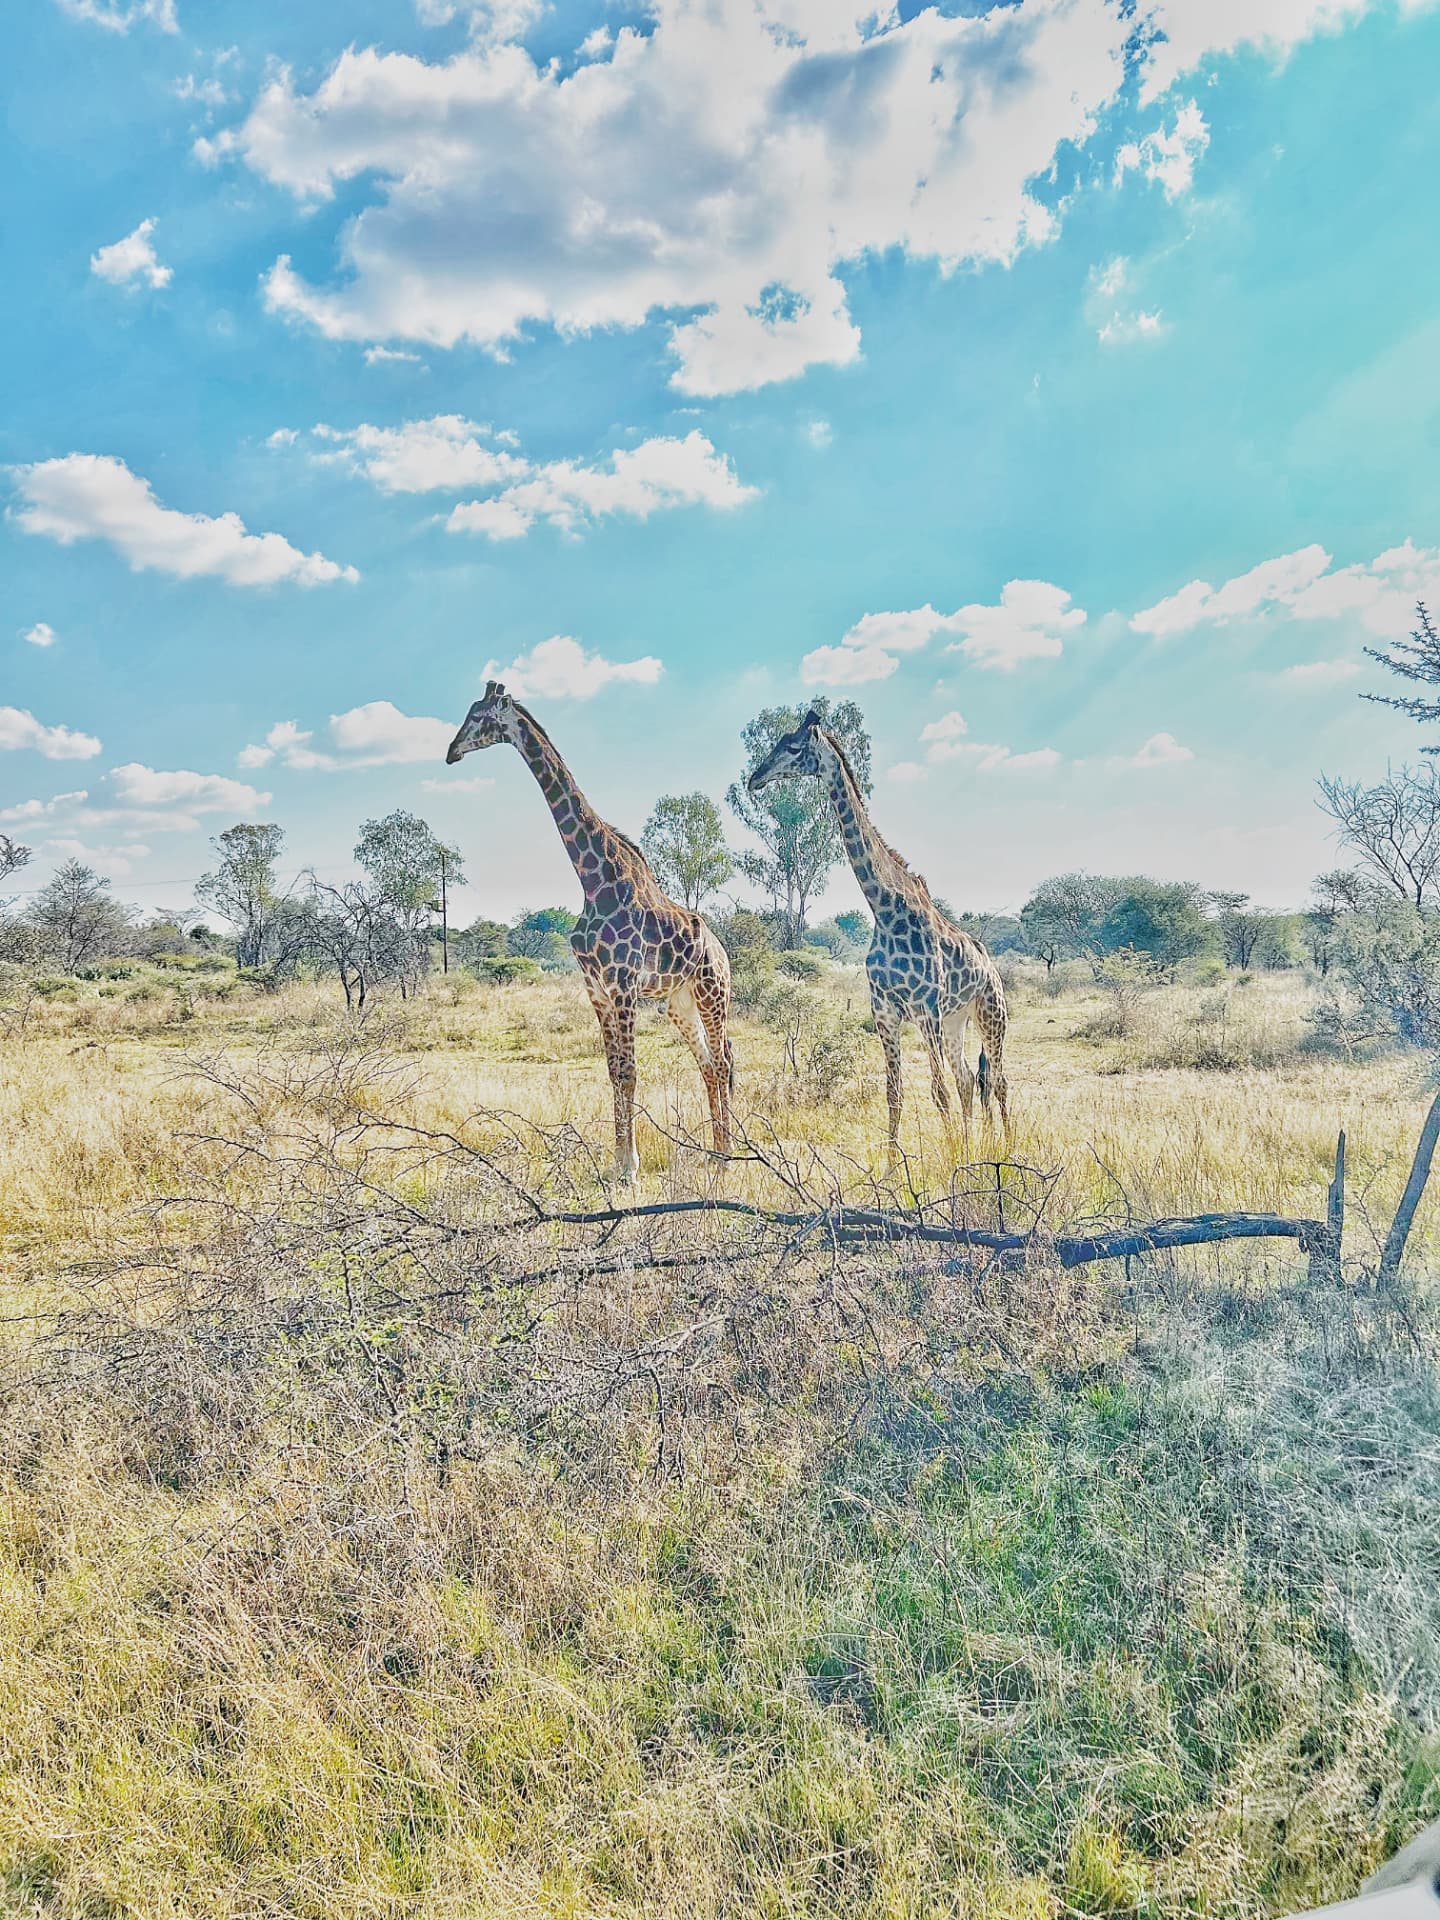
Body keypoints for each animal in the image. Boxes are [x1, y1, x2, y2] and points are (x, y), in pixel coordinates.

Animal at [446, 681, 734, 1182]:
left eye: (480, 717)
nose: (450, 752)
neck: (592, 879)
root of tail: (723, 952)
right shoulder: (596, 989)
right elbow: (612, 1071)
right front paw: (616, 1163)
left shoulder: (622, 985)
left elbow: (630, 1072)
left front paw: (631, 1169)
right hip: (679, 1002)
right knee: (707, 1064)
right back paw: (716, 1152)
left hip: (712, 993)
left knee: (722, 1061)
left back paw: (730, 1155)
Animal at [747, 710, 1009, 1153]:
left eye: (794, 747)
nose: (755, 778)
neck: (884, 907)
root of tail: (991, 967)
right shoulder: (885, 1011)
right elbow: (895, 1094)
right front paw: (897, 1162)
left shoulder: (925, 1009)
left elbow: (936, 1093)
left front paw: (950, 1156)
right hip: (957, 1020)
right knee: (968, 1079)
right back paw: (976, 1144)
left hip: (990, 1012)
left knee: (997, 1079)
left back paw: (1006, 1144)